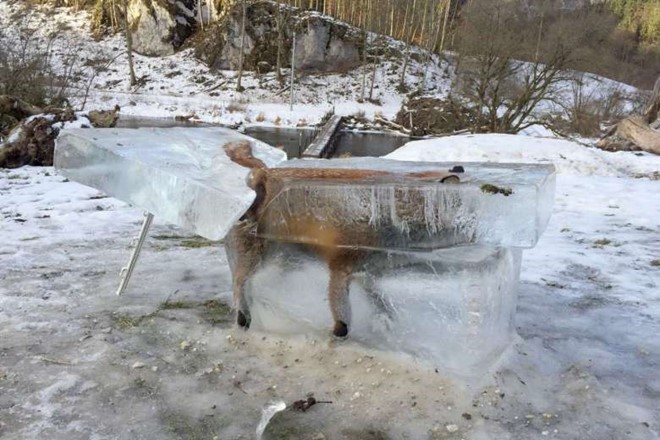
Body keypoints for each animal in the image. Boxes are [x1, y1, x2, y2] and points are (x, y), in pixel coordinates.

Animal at [223, 141, 458, 336]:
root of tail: (263, 172)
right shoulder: (341, 267)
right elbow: (343, 318)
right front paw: (338, 333)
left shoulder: (367, 272)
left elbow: (380, 300)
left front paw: (386, 319)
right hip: (258, 257)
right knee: (239, 283)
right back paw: (244, 316)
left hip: (285, 261)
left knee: (257, 284)